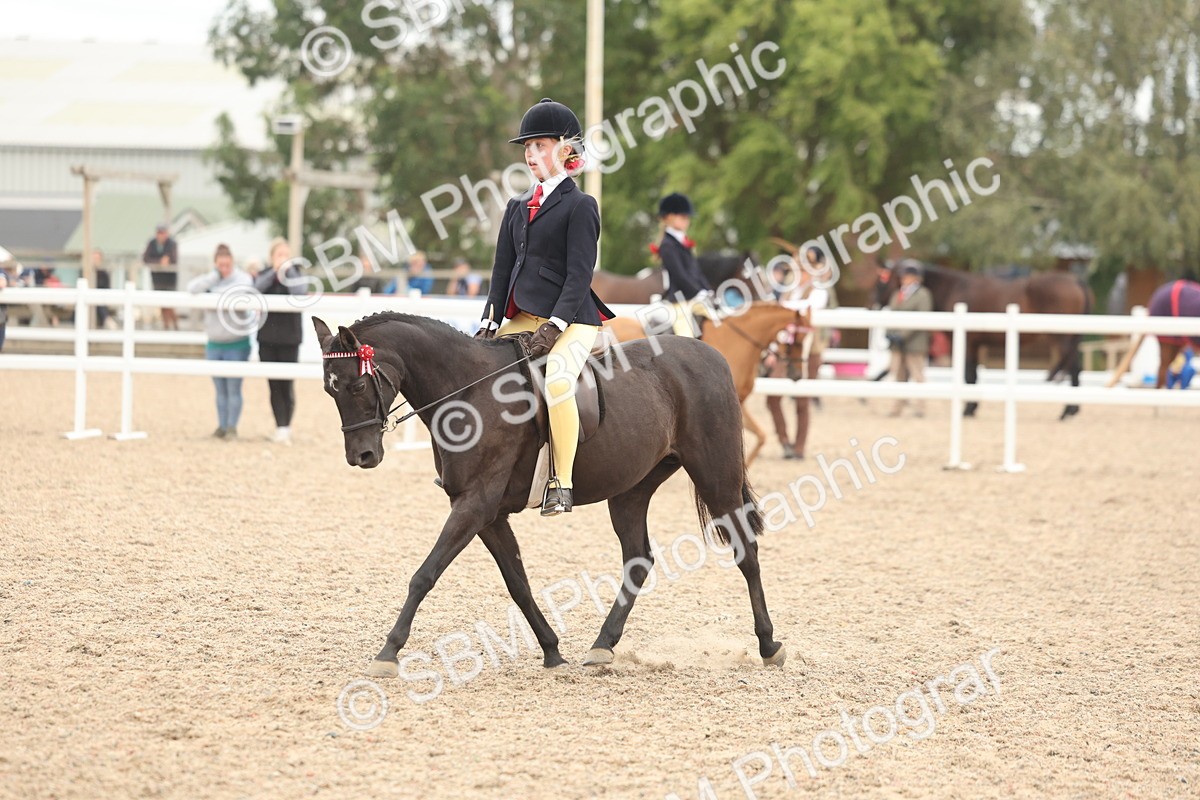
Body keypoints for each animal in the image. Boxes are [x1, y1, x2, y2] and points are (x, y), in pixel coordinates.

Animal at [312, 313, 786, 677]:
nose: (362, 455)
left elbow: (424, 575)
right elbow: (517, 583)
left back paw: (768, 645)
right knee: (638, 558)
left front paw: (388, 652)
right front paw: (552, 650)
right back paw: (602, 645)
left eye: (357, 386)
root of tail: (710, 354)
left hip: (715, 476)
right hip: (630, 491)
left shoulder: (476, 504)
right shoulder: (487, 513)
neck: (469, 390)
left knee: (746, 551)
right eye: (329, 389)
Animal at [876, 263, 1093, 420]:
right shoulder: (975, 343)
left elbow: (968, 374)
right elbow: (973, 374)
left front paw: (968, 409)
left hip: (1062, 337)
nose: (875, 303)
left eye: (884, 280)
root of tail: (1076, 280)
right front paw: (972, 407)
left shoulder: (966, 341)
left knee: (1073, 366)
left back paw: (1068, 410)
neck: (954, 287)